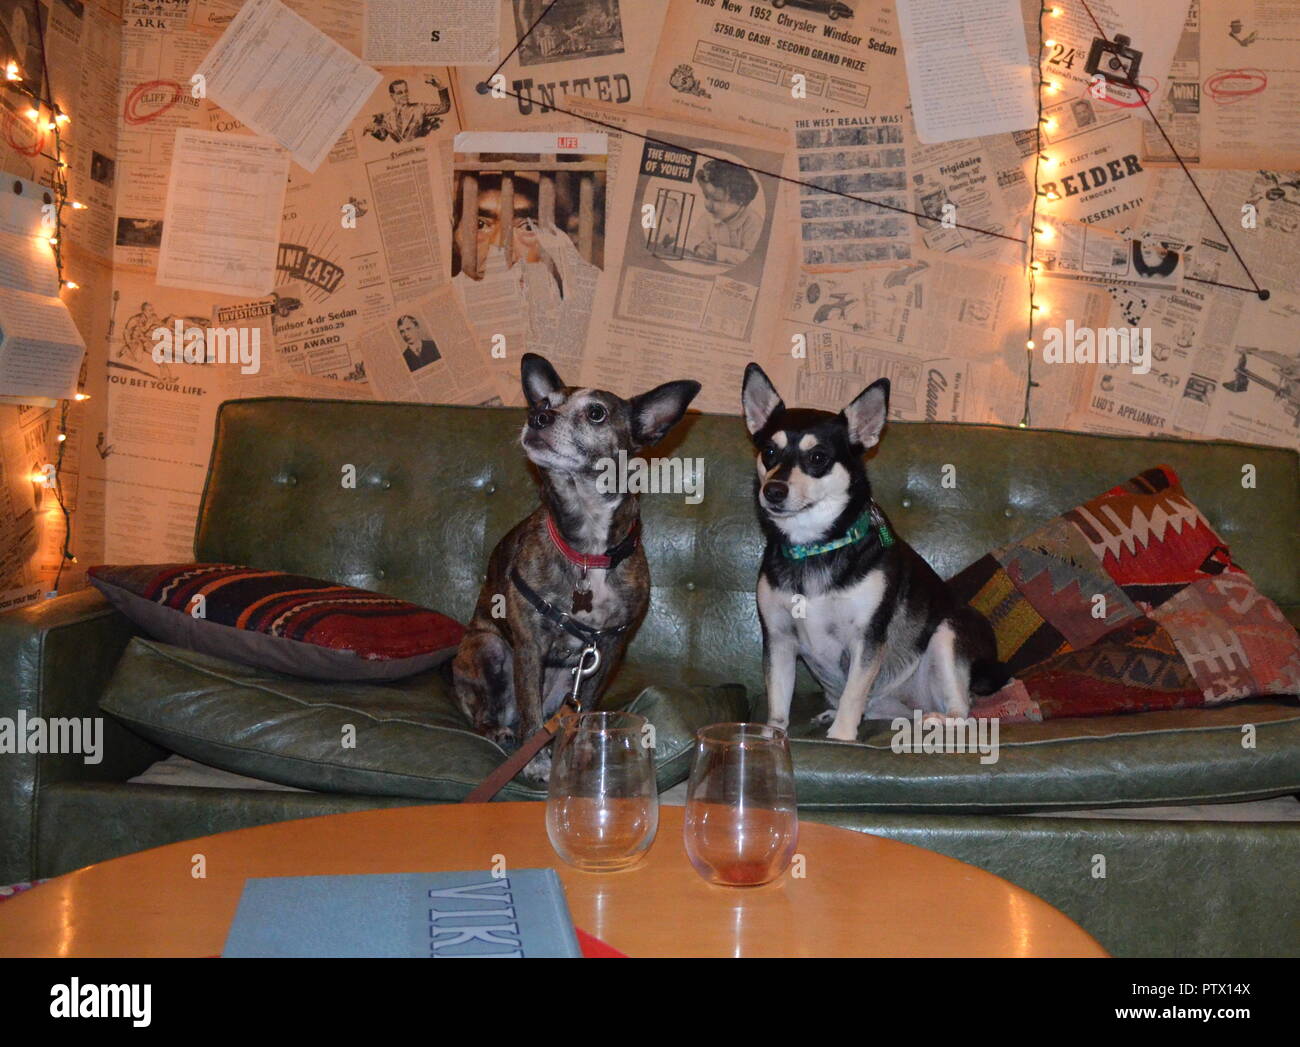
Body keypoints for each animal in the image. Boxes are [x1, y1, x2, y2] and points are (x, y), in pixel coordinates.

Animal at [743, 364, 1003, 738]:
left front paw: (841, 737)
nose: (773, 491)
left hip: (947, 634)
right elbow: (778, 703)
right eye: (769, 453)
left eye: (818, 458)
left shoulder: (866, 640)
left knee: (962, 709)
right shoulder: (778, 640)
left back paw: (939, 719)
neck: (815, 546)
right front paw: (769, 739)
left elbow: (854, 693)